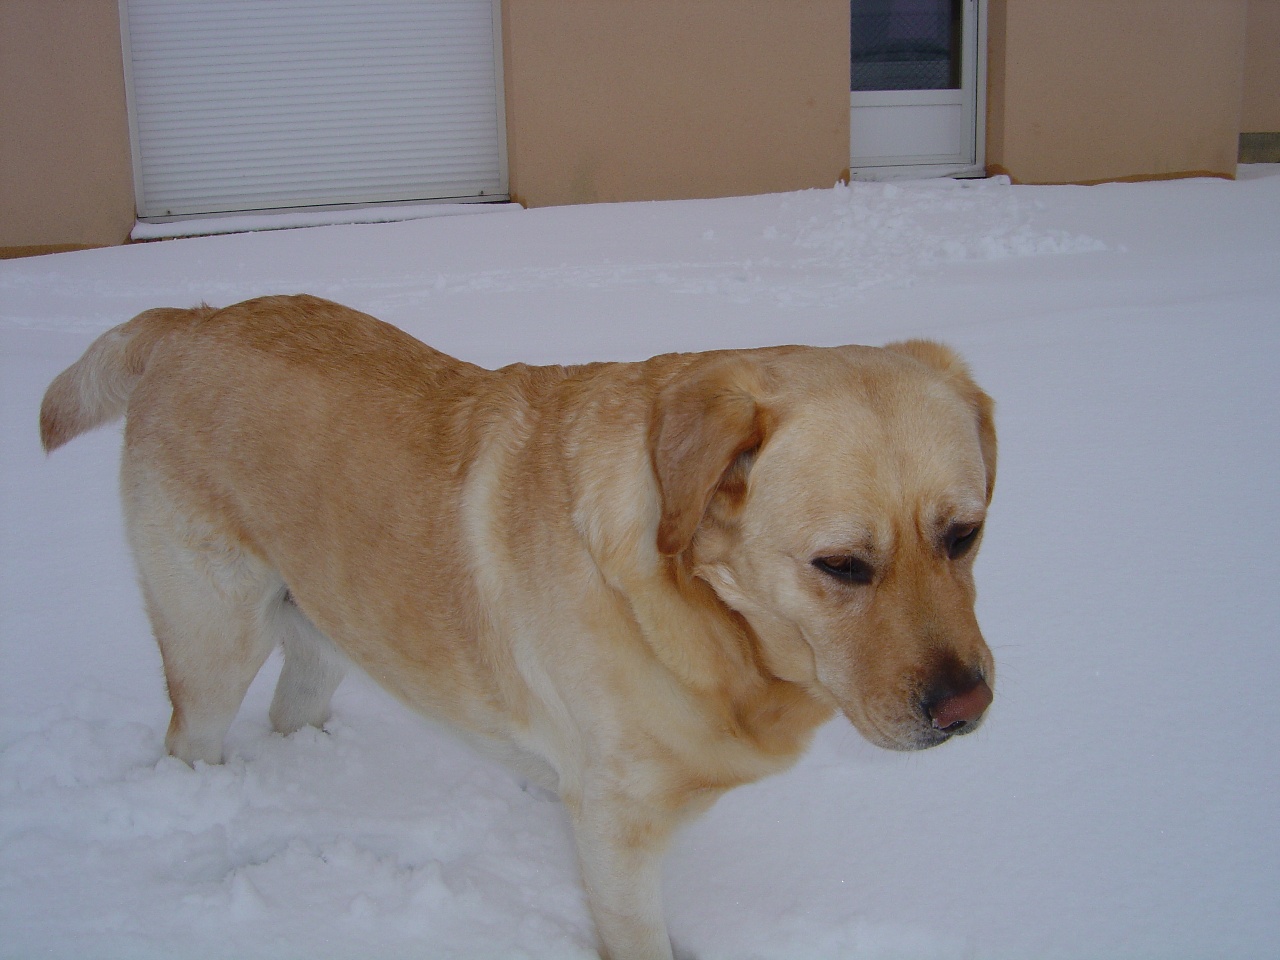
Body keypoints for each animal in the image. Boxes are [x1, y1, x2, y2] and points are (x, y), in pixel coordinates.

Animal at [40, 296, 993, 960]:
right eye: (842, 565)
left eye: (965, 533)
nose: (966, 708)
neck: (703, 615)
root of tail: (188, 321)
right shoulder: (616, 830)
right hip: (214, 637)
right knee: (191, 733)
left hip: (330, 623)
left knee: (292, 710)